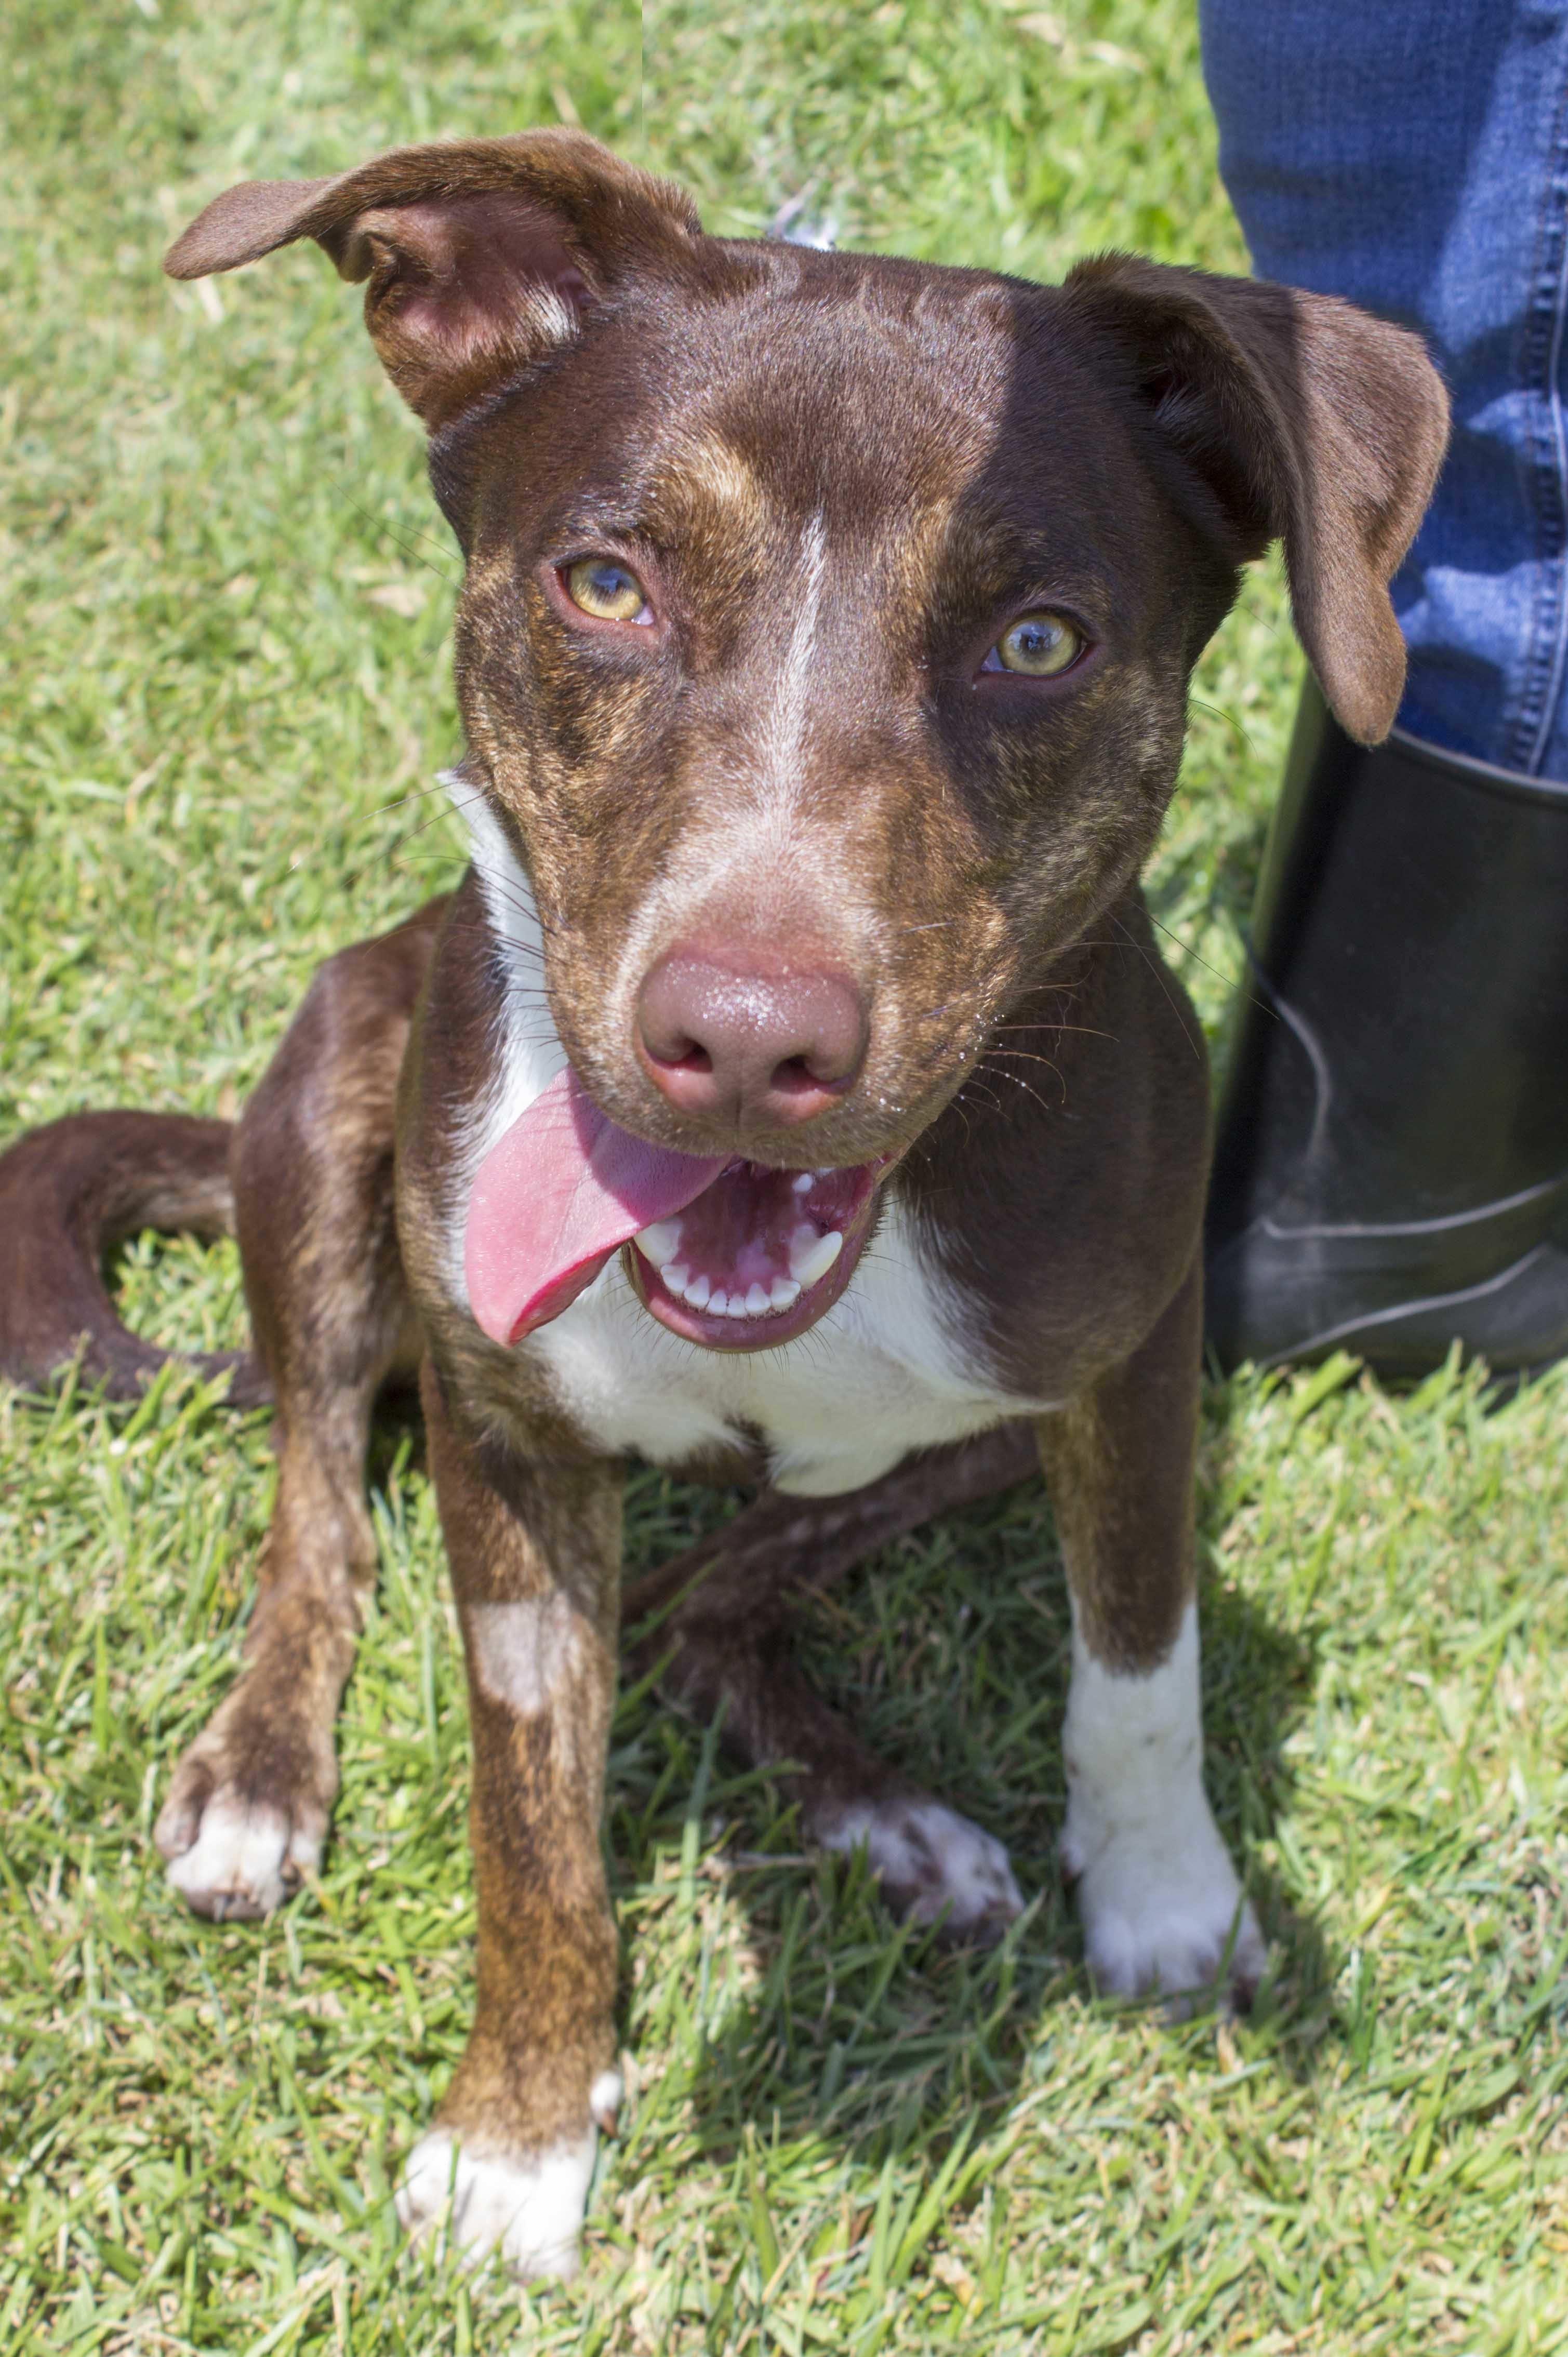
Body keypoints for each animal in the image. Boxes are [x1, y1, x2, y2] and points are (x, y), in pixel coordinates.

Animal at [0, 130, 1447, 2280]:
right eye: (606, 584)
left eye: (1036, 640)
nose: (746, 1043)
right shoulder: (508, 1440)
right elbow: (529, 1811)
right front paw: (516, 2137)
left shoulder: (1132, 1374)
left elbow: (1138, 1658)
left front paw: (1163, 1898)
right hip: (338, 1094)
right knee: (319, 1496)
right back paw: (263, 1771)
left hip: (975, 1437)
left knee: (706, 1603)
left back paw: (891, 1821)